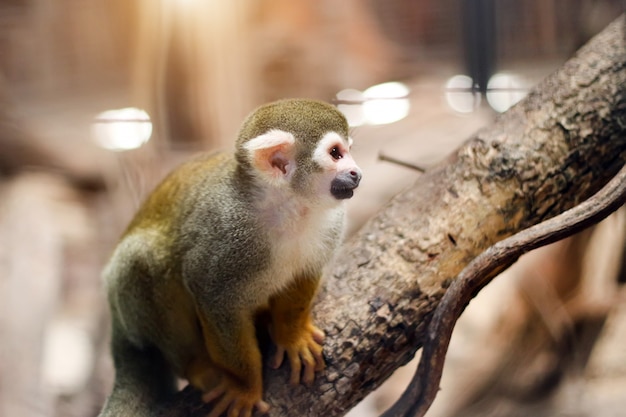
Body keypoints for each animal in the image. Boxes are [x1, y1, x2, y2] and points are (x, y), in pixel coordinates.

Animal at [98, 99, 360, 414]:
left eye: (348, 150)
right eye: (336, 153)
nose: (356, 172)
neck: (289, 208)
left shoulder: (331, 224)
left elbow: (304, 275)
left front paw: (292, 335)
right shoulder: (226, 234)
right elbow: (213, 296)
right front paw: (244, 386)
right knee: (142, 261)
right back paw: (196, 365)